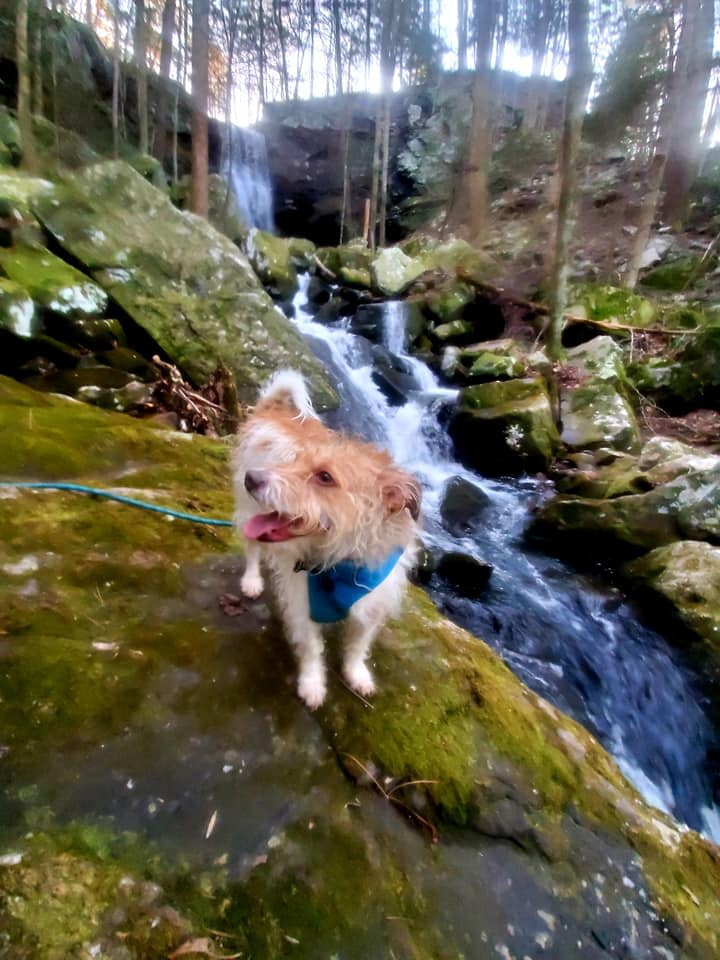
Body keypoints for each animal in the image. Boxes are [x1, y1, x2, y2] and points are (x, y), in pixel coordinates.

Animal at [233, 372, 420, 708]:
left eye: (324, 477)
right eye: (294, 461)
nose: (251, 479)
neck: (341, 566)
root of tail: (272, 411)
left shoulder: (371, 606)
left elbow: (357, 645)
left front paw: (356, 674)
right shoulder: (301, 603)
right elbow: (310, 647)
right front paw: (312, 684)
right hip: (248, 511)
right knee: (252, 548)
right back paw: (252, 580)